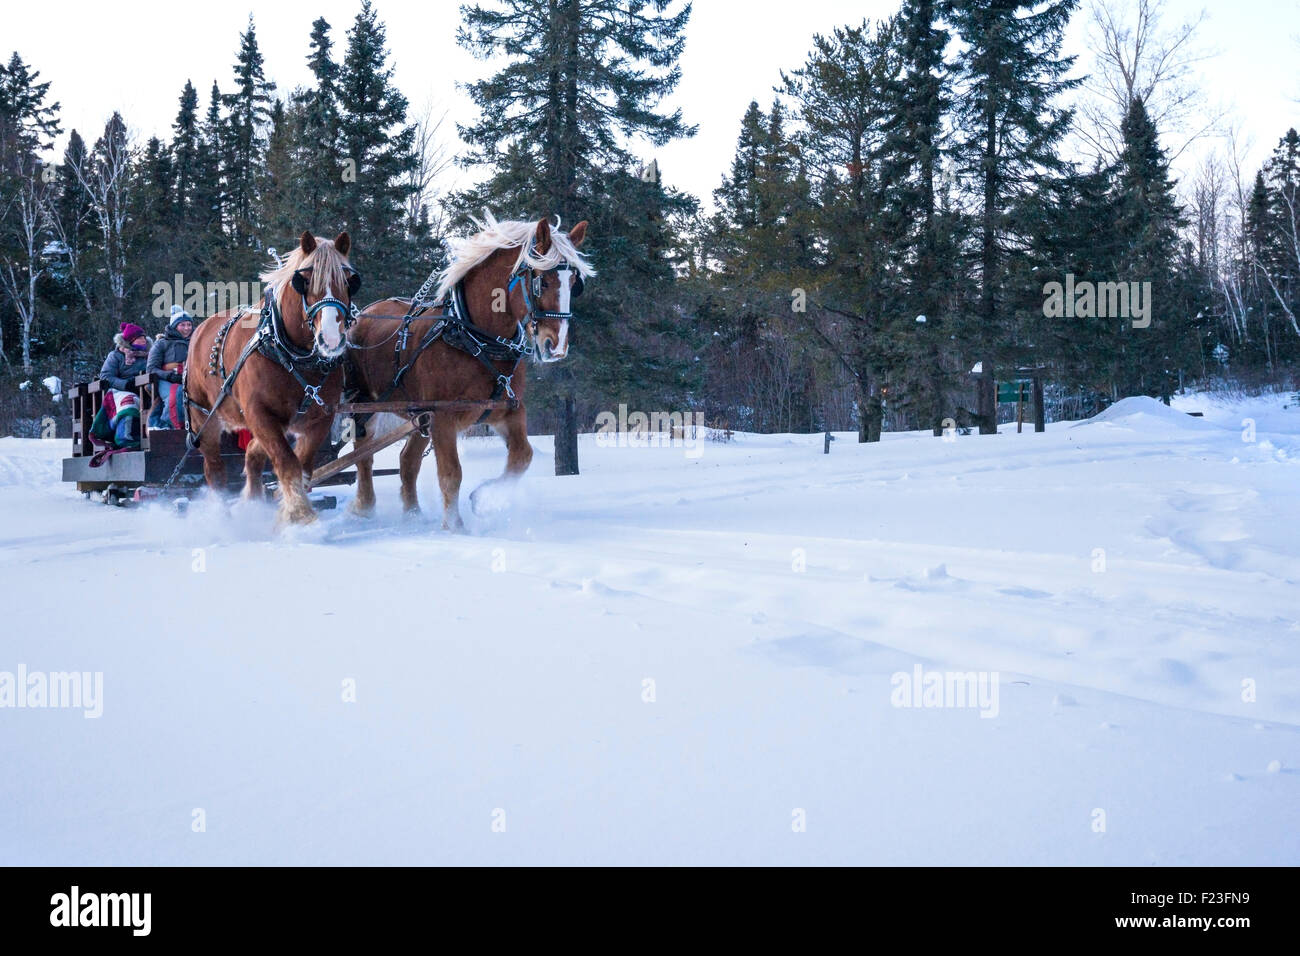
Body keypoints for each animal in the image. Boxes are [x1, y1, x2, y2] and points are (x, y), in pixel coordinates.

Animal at [184, 234, 361, 530]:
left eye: (349, 281)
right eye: (305, 280)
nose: (331, 338)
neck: (290, 353)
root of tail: (199, 330)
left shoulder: (319, 418)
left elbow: (303, 465)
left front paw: (290, 510)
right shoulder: (259, 413)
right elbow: (287, 462)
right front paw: (301, 517)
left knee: (252, 455)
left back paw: (253, 501)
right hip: (204, 420)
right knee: (215, 471)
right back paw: (223, 517)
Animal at [343, 214, 592, 530]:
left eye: (575, 282)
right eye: (542, 281)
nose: (556, 346)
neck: (474, 340)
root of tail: (362, 314)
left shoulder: (507, 410)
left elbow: (522, 456)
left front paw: (483, 498)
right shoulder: (443, 417)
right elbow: (451, 473)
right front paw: (454, 526)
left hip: (419, 417)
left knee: (407, 461)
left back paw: (412, 515)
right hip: (364, 403)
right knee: (362, 454)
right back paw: (364, 508)